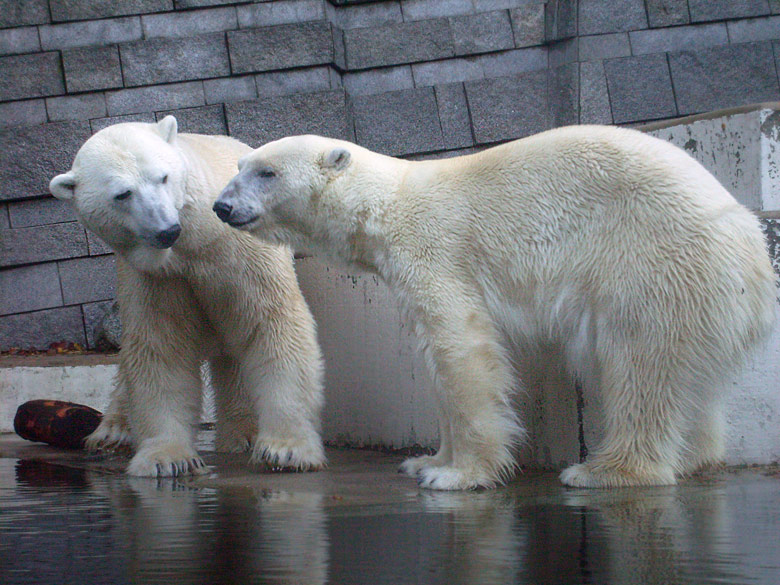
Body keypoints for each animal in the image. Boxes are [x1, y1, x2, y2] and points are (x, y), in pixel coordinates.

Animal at [48, 117, 324, 474]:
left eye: (163, 177)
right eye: (123, 194)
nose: (167, 229)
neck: (196, 242)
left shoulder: (240, 255)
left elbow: (268, 323)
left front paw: (285, 450)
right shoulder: (156, 277)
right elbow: (161, 344)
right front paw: (166, 459)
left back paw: (243, 434)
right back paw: (112, 432)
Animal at [210, 125, 776, 490]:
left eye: (266, 172)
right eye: (238, 166)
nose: (221, 206)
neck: (387, 206)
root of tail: (753, 248)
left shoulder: (436, 254)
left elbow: (461, 350)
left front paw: (457, 474)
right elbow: (434, 362)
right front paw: (424, 461)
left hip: (651, 259)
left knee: (638, 362)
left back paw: (605, 471)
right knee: (687, 375)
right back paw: (695, 458)